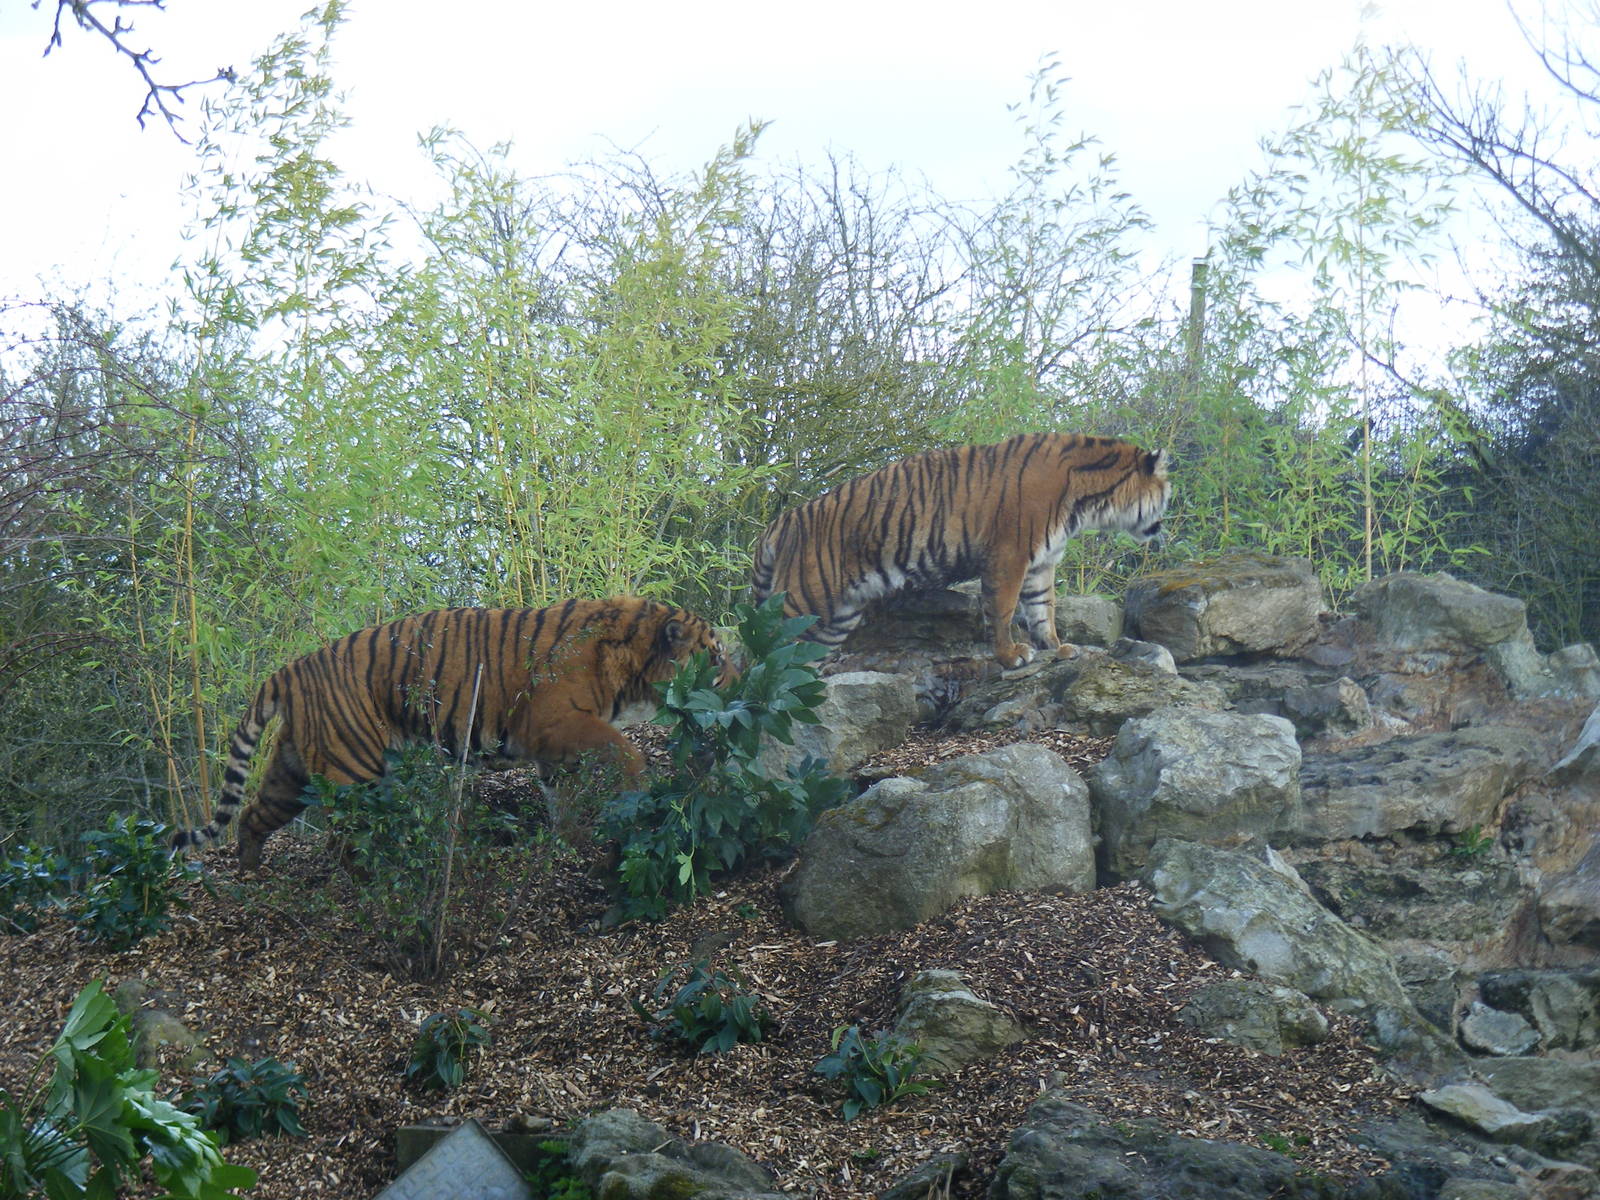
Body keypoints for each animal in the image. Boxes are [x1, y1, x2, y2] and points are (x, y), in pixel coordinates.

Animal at [172, 597, 732, 870]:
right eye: (716, 655)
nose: (738, 678)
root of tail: (289, 669)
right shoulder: (558, 722)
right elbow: (623, 749)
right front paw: (641, 788)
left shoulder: (553, 751)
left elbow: (563, 800)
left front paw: (569, 844)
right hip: (354, 771)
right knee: (348, 842)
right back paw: (379, 878)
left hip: (294, 771)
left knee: (251, 815)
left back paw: (251, 872)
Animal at [750, 433, 1171, 669]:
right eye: (1167, 492)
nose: (1163, 521)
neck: (1090, 502)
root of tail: (782, 521)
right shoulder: (1009, 556)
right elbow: (1003, 609)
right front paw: (1011, 656)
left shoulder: (1041, 563)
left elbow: (1043, 608)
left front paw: (1056, 646)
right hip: (802, 605)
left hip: (835, 619)